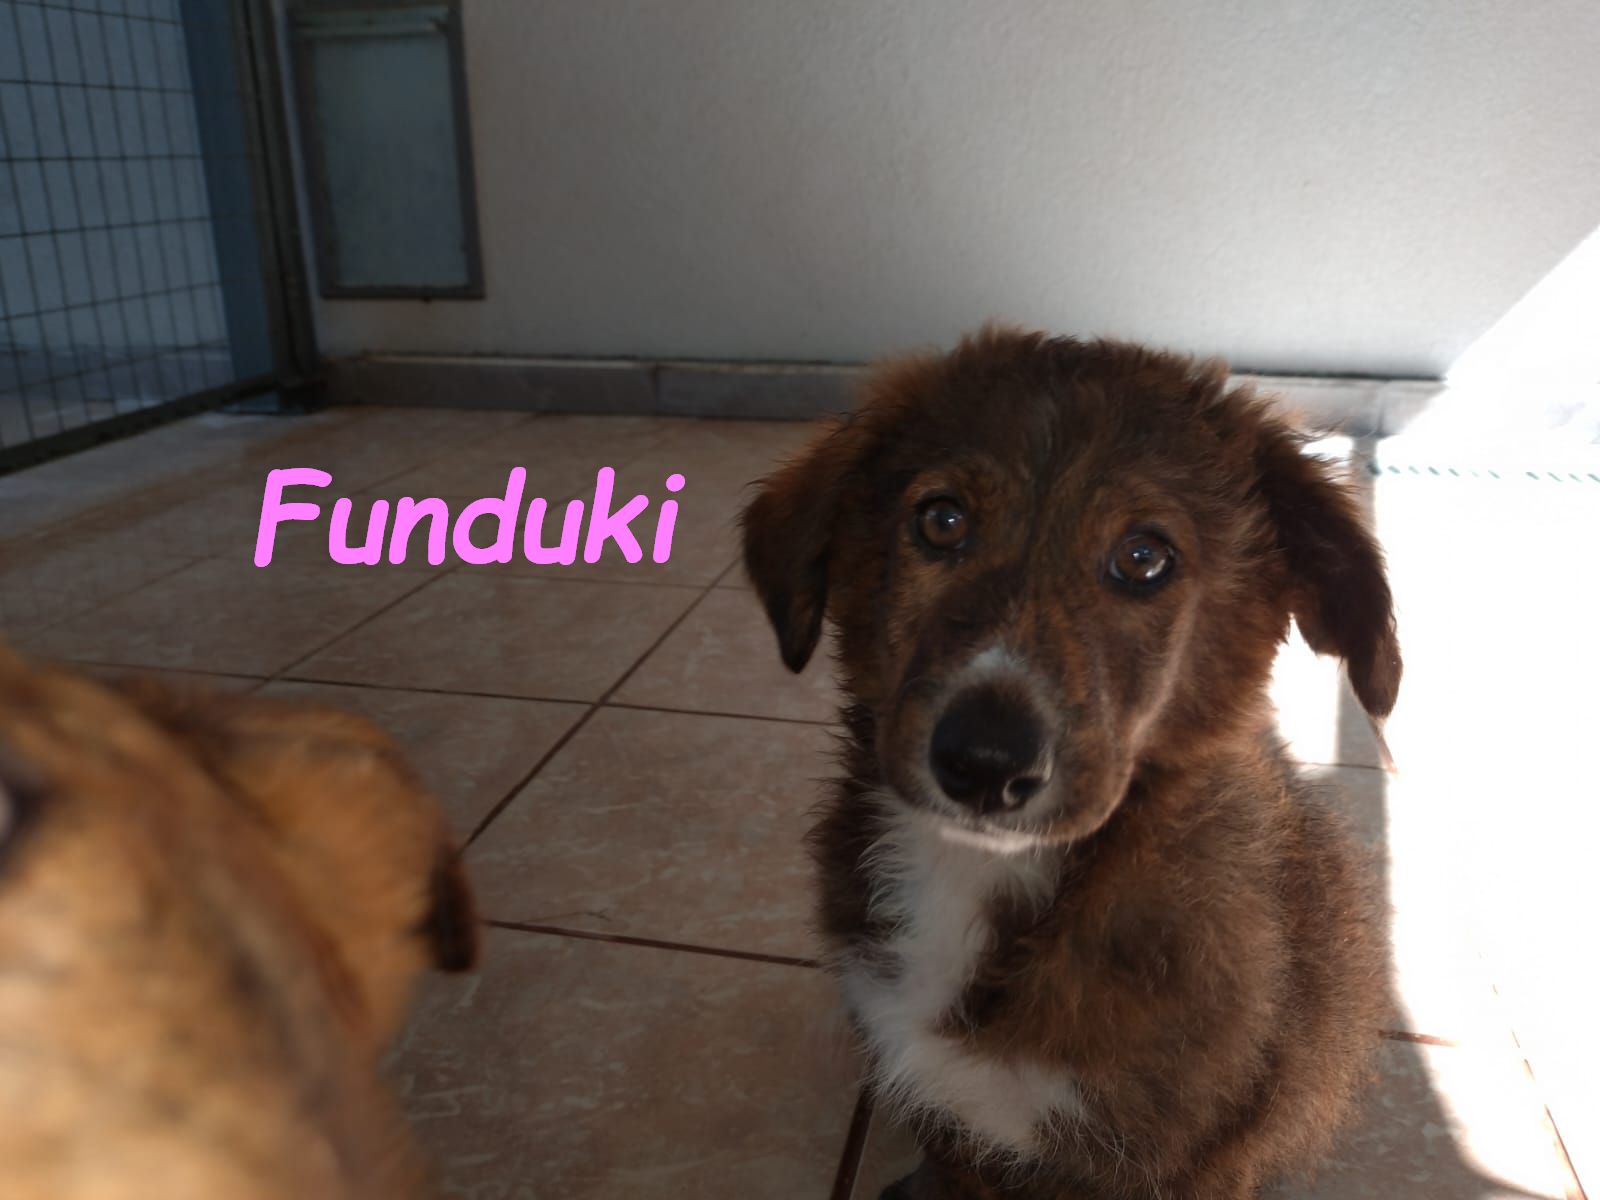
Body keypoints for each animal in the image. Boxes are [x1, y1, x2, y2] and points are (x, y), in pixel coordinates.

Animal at [741, 330, 1397, 1199]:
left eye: (1144, 557)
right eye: (942, 521)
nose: (985, 764)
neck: (987, 881)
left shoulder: (1175, 1159)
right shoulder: (942, 1107)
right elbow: (951, 1165)